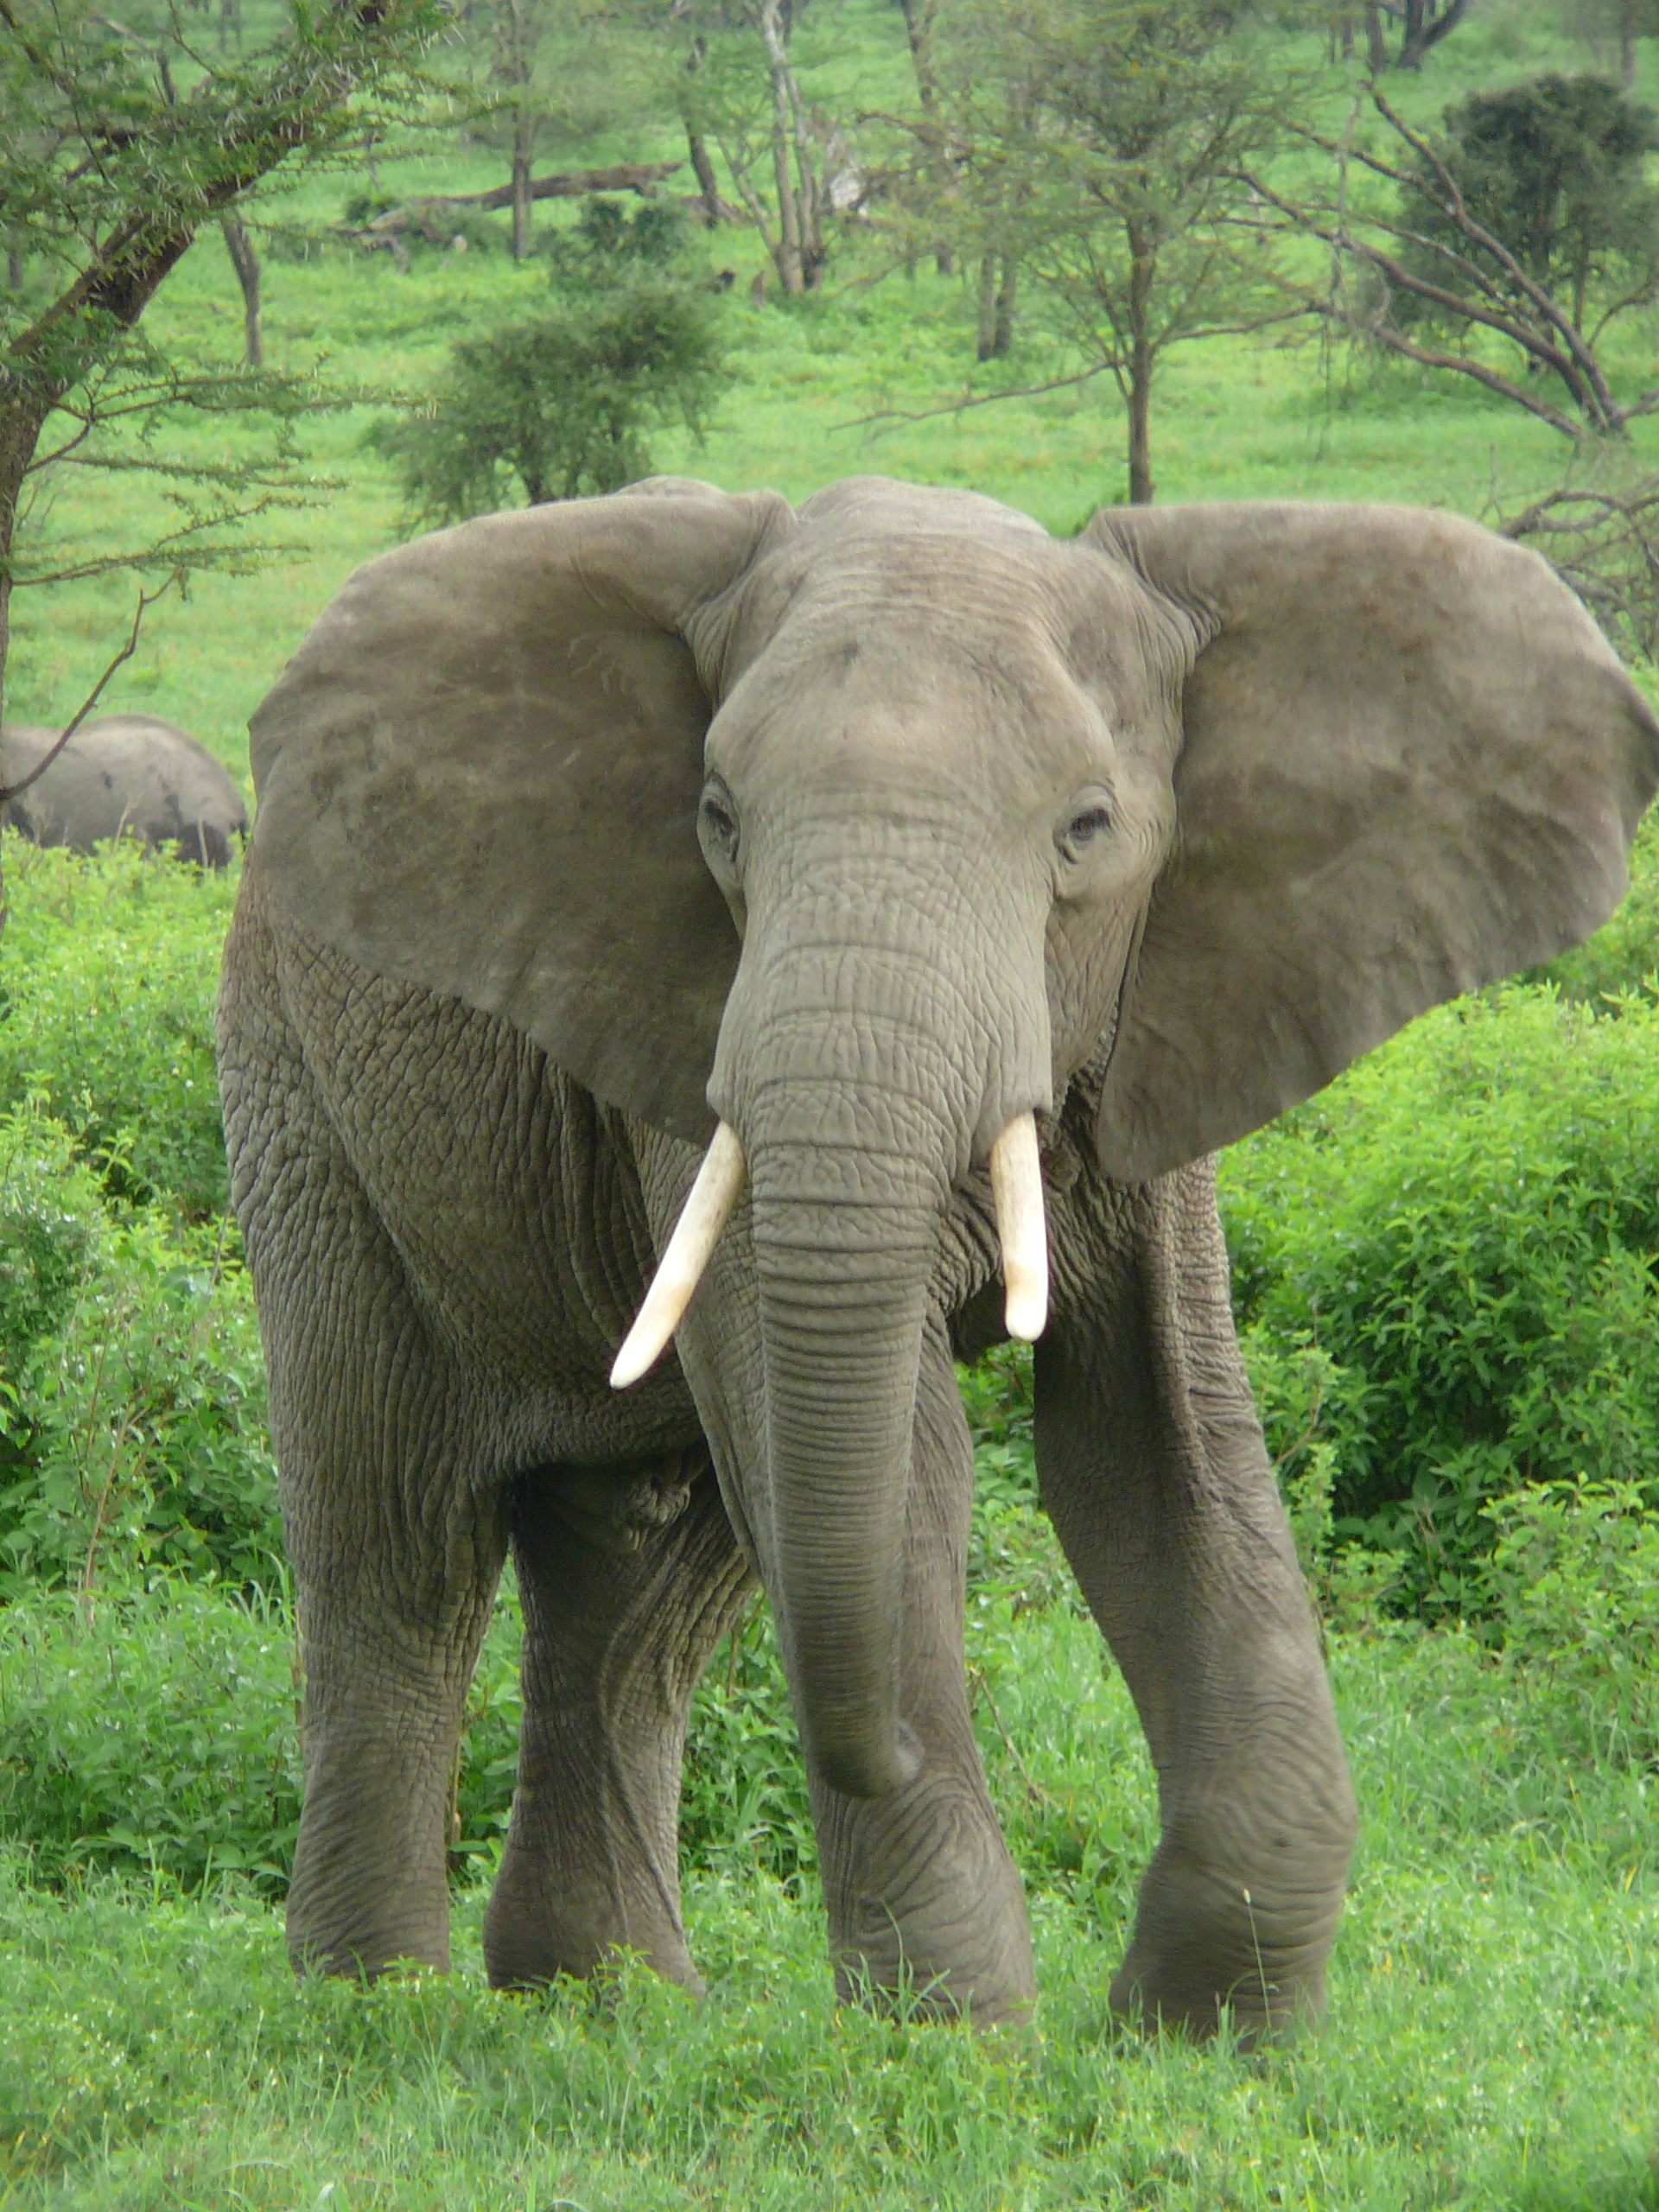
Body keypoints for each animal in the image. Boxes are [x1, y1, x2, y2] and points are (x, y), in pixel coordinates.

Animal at [215, 476, 1658, 2036]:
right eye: (717, 821)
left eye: (1087, 829)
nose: (888, 1750)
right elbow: (907, 1464)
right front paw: (958, 2041)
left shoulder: (1158, 1022)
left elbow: (1162, 1450)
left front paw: (1199, 2039)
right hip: (299, 1091)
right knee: (398, 1544)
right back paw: (380, 2009)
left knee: (640, 1590)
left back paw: (614, 2007)